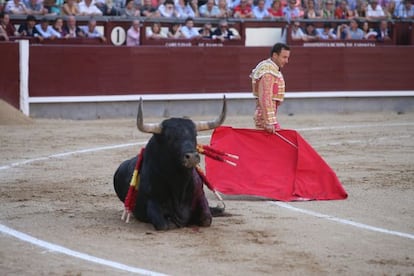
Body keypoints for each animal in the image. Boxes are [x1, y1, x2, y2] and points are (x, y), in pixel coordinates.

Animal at [113, 98, 226, 230]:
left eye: (195, 135)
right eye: (170, 137)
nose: (192, 157)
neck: (179, 183)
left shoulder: (201, 198)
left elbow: (206, 219)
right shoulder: (153, 202)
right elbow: (164, 224)